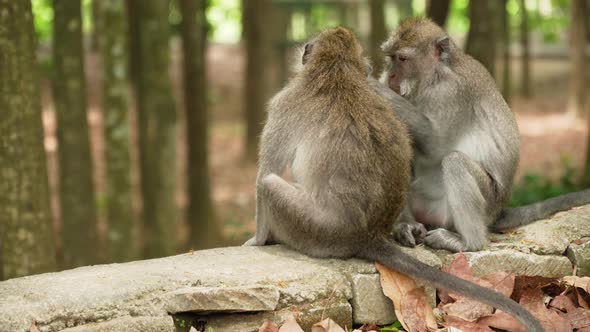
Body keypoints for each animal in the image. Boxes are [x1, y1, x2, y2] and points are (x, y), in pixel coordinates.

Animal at [245, 27, 544, 332]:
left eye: (402, 59)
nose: (389, 77)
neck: (336, 69)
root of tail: (366, 235)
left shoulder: (283, 103)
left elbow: (264, 173)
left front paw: (257, 241)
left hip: (313, 229)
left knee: (269, 185)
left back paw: (467, 242)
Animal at [370, 16, 590, 253]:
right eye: (390, 58)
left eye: (402, 59)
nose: (391, 75)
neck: (433, 78)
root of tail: (498, 212)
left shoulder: (453, 92)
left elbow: (436, 146)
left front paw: (369, 82)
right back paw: (407, 224)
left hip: (482, 202)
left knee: (454, 161)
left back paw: (468, 242)